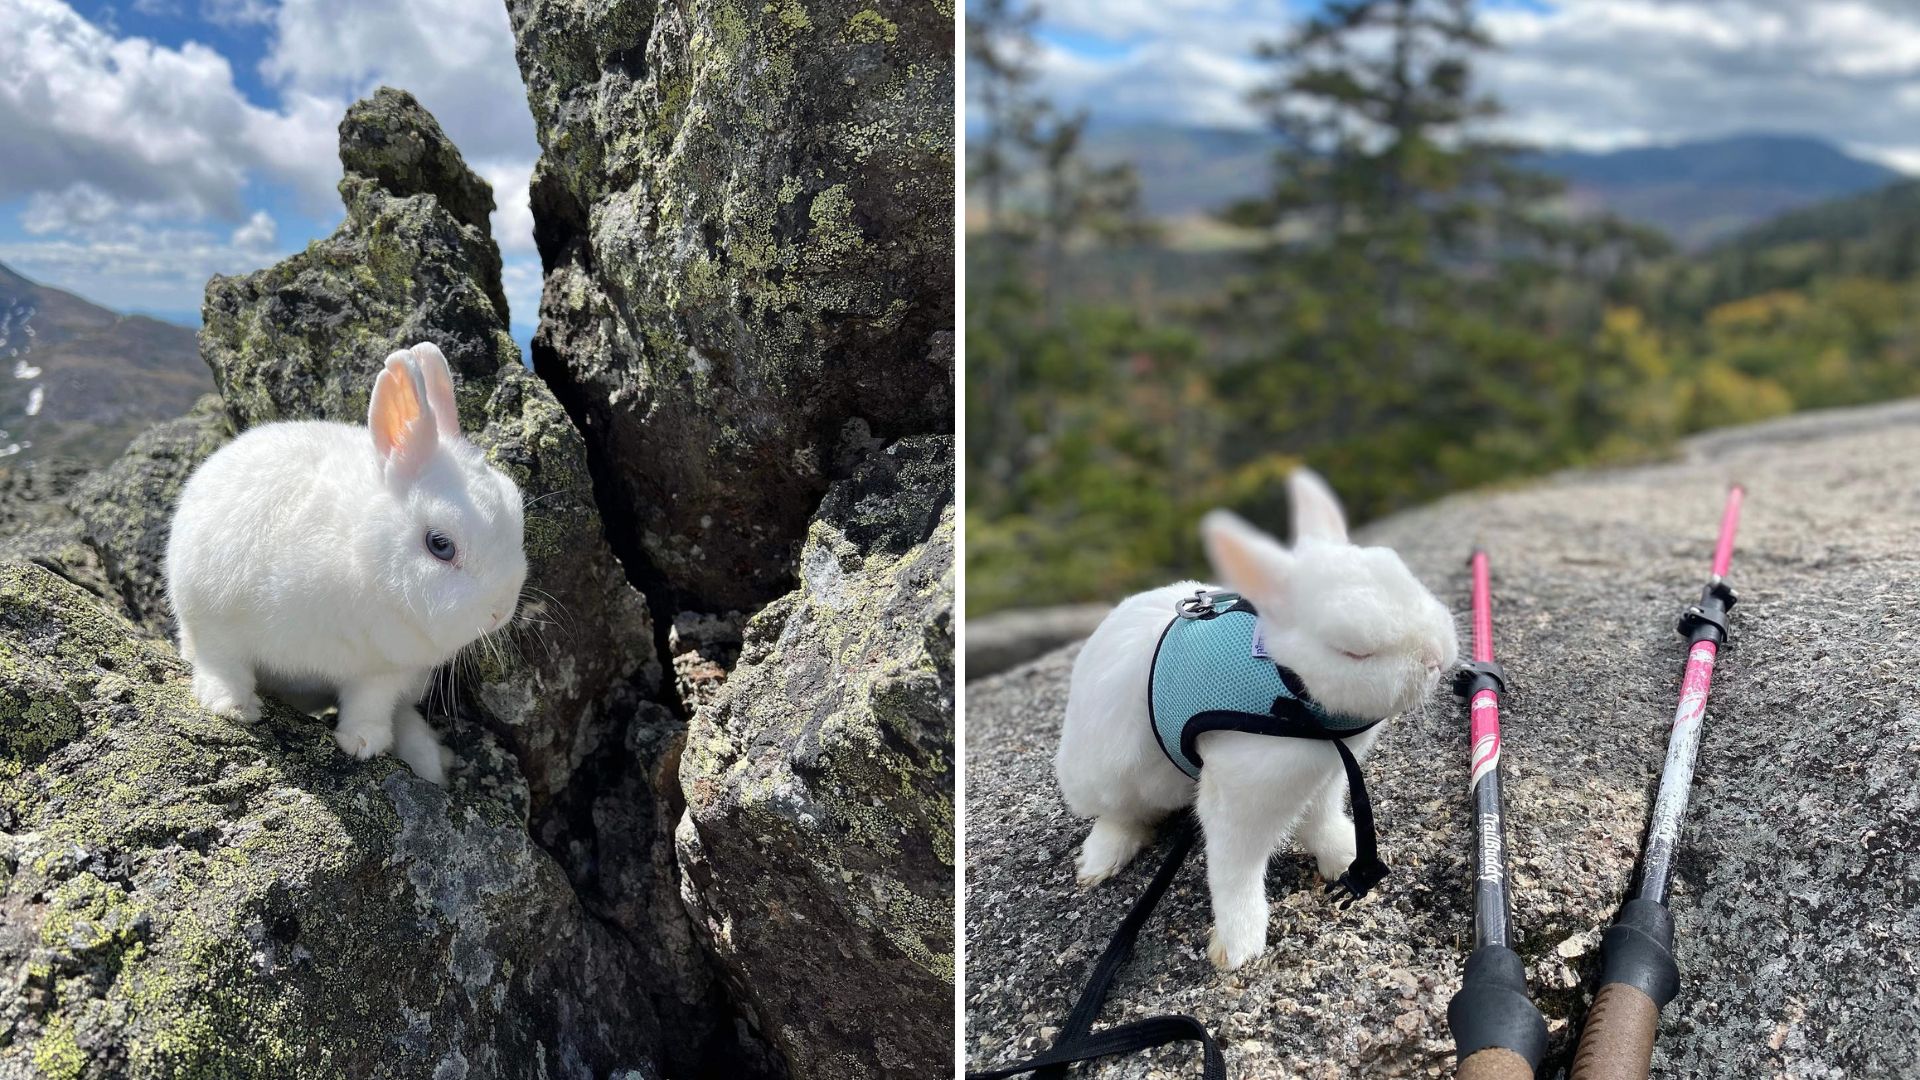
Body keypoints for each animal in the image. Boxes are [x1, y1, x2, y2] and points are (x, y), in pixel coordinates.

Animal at [162, 340, 526, 776]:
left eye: (517, 507)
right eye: (440, 545)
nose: (500, 613)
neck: (364, 556)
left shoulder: (383, 672)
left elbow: (369, 705)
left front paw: (363, 744)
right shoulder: (214, 618)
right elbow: (224, 664)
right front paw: (233, 708)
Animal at [1052, 466, 1451, 972]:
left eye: (1408, 580)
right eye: (1353, 651)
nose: (1437, 658)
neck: (1287, 683)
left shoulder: (1327, 773)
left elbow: (1321, 819)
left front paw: (1343, 858)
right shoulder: (1245, 794)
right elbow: (1235, 870)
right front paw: (1237, 948)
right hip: (1103, 778)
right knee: (1119, 815)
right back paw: (1098, 863)